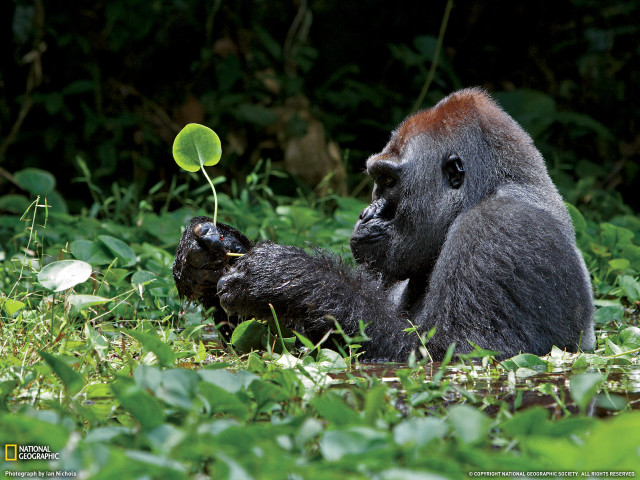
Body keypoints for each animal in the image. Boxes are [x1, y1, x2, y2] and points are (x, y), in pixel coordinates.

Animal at [173, 88, 595, 361]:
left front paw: (288, 276)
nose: (365, 213)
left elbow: (450, 353)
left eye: (389, 182)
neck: (488, 189)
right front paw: (208, 256)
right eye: (378, 180)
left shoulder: (500, 230)